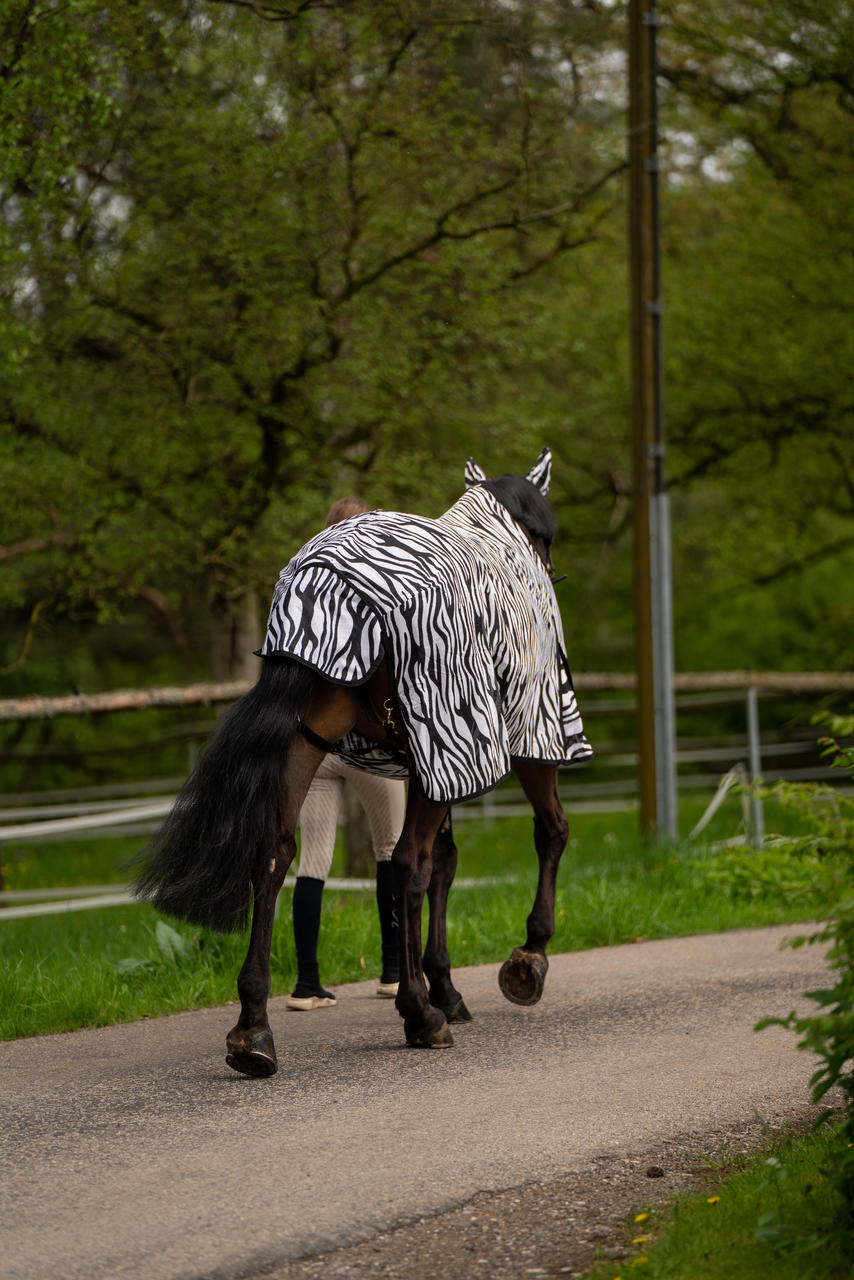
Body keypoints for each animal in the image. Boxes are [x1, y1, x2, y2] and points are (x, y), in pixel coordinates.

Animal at [133, 445, 591, 1075]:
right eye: (547, 535)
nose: (550, 570)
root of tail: (330, 583)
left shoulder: (435, 763)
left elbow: (446, 864)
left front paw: (449, 988)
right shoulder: (512, 739)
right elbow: (546, 832)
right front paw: (527, 958)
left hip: (306, 743)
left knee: (275, 857)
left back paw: (254, 1030)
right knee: (406, 862)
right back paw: (418, 1014)